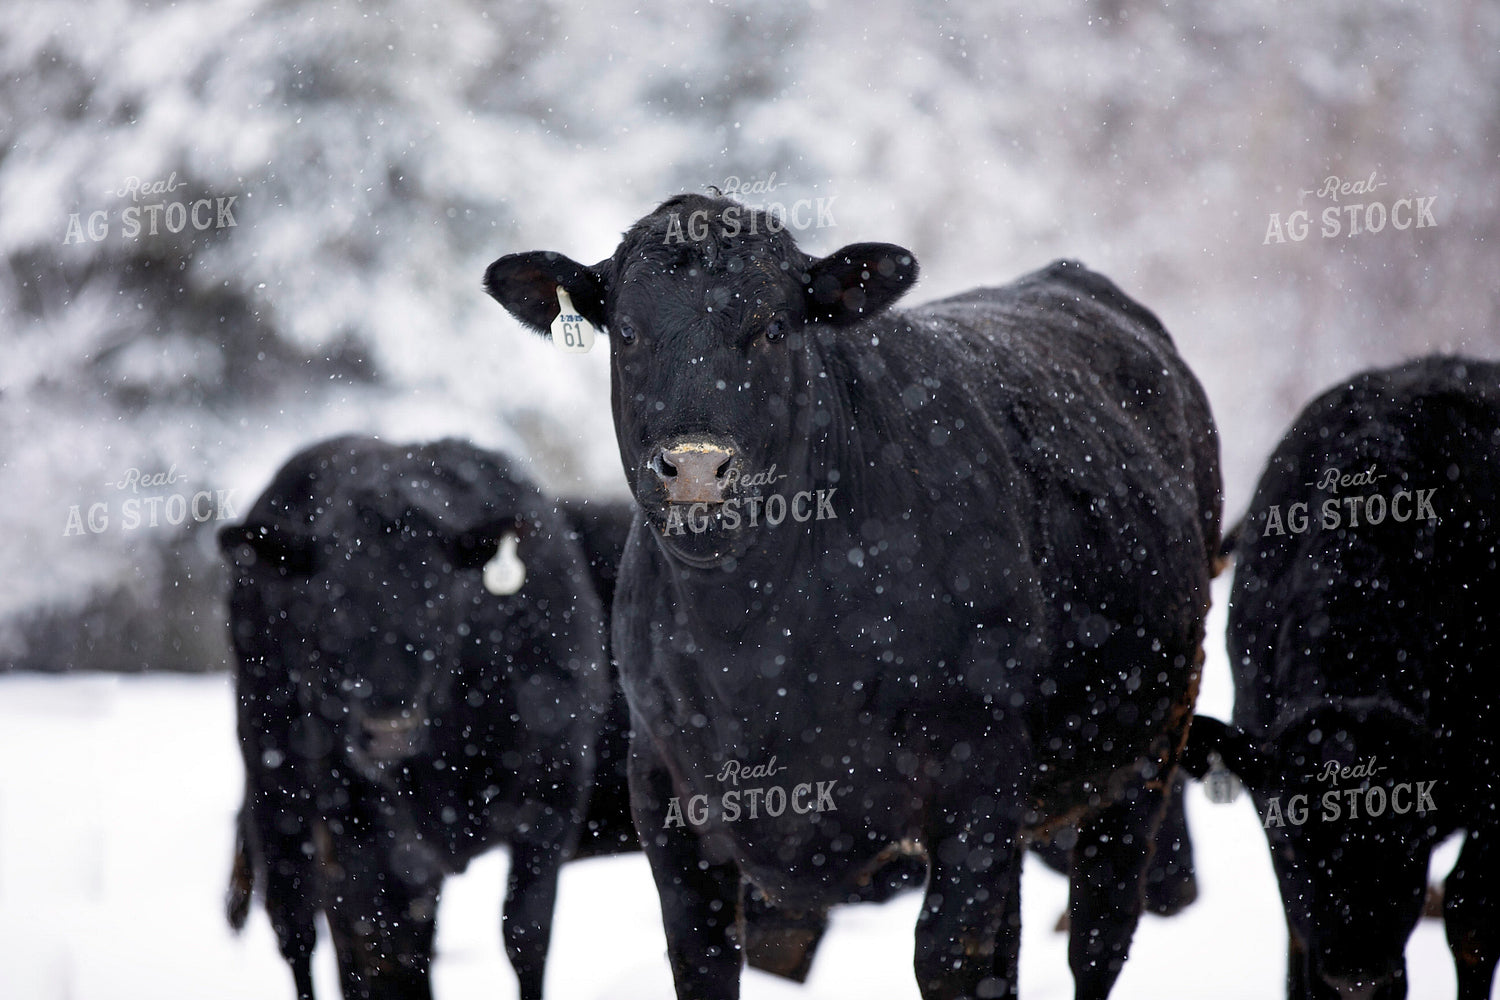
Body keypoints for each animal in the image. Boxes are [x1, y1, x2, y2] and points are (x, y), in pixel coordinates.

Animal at [221, 436, 610, 1000]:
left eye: (439, 600)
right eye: (327, 604)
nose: (388, 732)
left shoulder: (554, 795)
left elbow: (526, 936)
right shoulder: (365, 827)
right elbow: (386, 952)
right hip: (275, 783)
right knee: (297, 926)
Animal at [484, 192, 1223, 1000]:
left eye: (774, 327)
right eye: (628, 331)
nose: (697, 469)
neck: (751, 646)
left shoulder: (979, 780)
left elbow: (947, 954)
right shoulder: (665, 798)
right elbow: (703, 959)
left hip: (1148, 750)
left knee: (1099, 933)